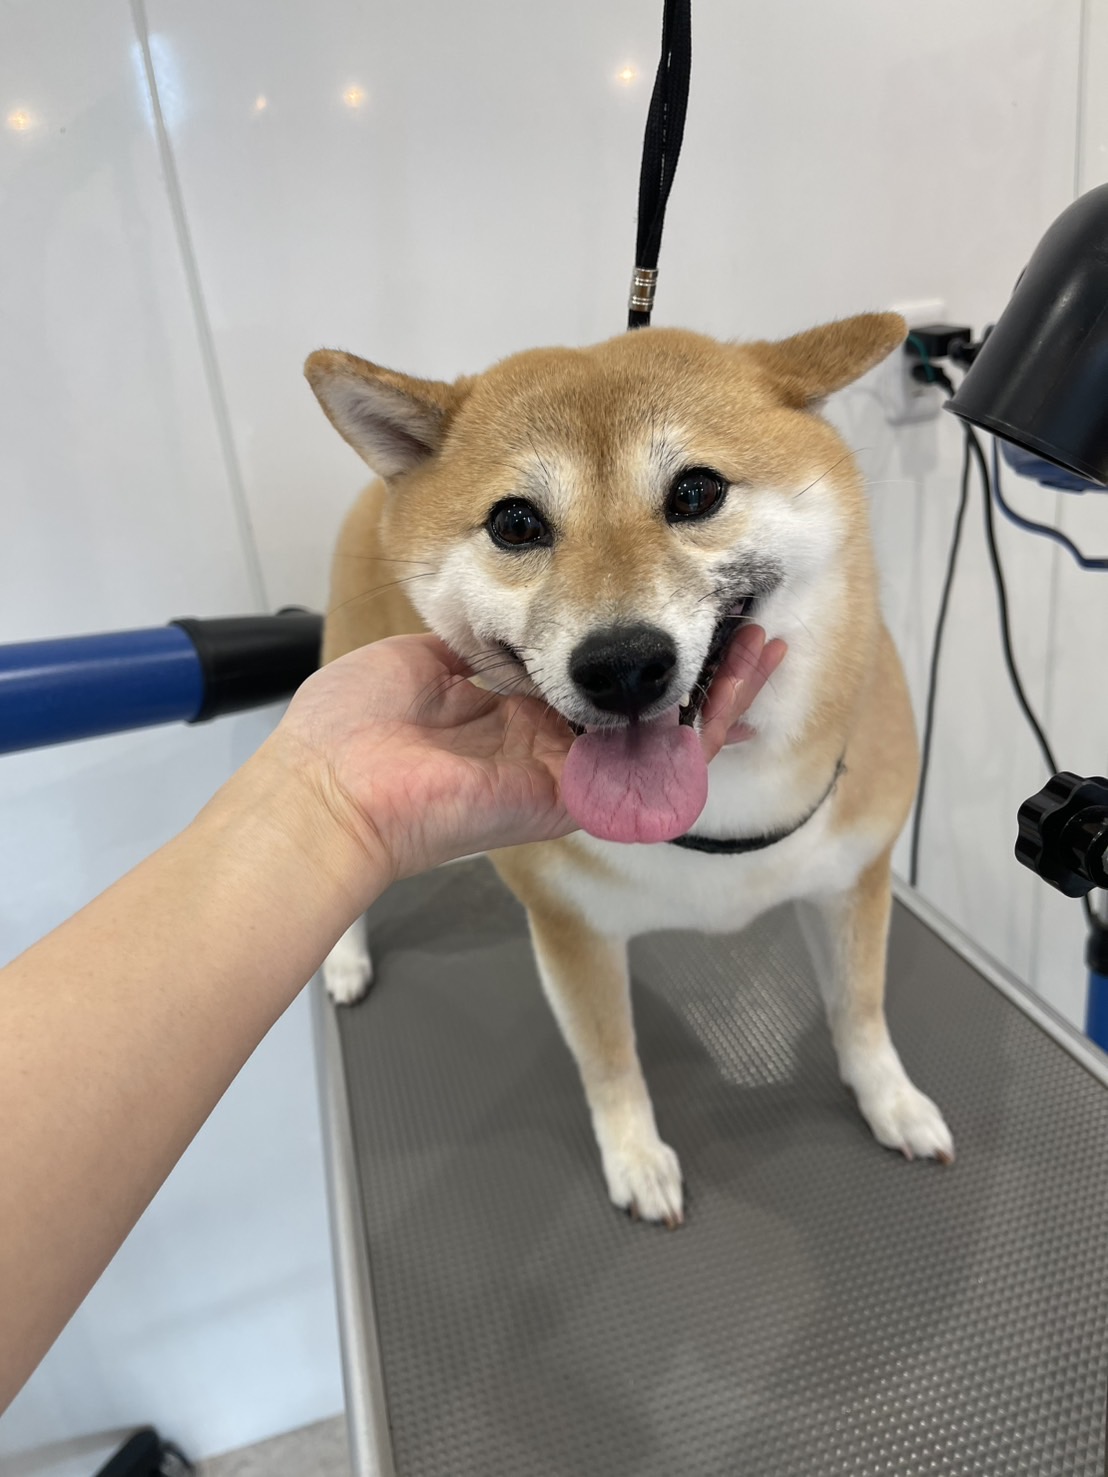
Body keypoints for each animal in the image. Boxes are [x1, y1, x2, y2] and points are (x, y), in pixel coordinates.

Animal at [305, 314, 953, 1226]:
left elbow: (860, 1007)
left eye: (696, 493)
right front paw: (636, 1155)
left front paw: (889, 1099)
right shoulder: (571, 928)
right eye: (515, 523)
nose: (621, 666)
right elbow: (609, 1056)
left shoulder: (853, 877)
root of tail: (378, 493)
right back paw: (344, 961)